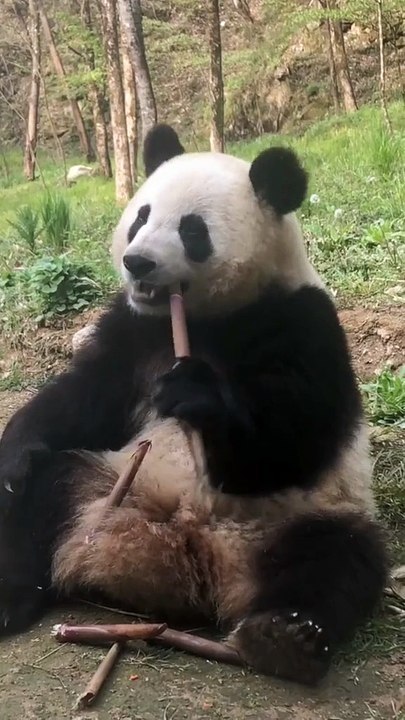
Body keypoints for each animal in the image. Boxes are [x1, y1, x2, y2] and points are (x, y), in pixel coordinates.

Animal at [0, 124, 388, 685]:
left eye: (192, 230)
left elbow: (290, 442)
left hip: (298, 518)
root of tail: (188, 552)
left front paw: (196, 395)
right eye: (142, 215)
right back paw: (10, 594)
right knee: (41, 496)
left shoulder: (302, 324)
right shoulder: (134, 330)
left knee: (336, 559)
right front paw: (17, 448)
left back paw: (284, 636)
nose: (136, 261)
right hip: (105, 485)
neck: (204, 318)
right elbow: (87, 397)